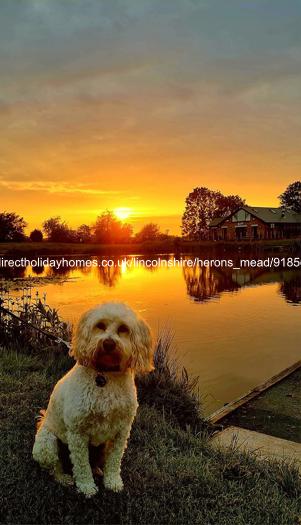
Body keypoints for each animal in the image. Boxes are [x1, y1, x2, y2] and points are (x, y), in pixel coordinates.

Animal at [32, 300, 154, 498]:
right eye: (100, 325)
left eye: (123, 329)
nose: (109, 343)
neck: (105, 374)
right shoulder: (77, 432)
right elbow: (82, 465)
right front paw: (86, 487)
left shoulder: (122, 431)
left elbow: (114, 460)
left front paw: (113, 482)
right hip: (47, 444)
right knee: (54, 466)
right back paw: (64, 478)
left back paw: (97, 470)